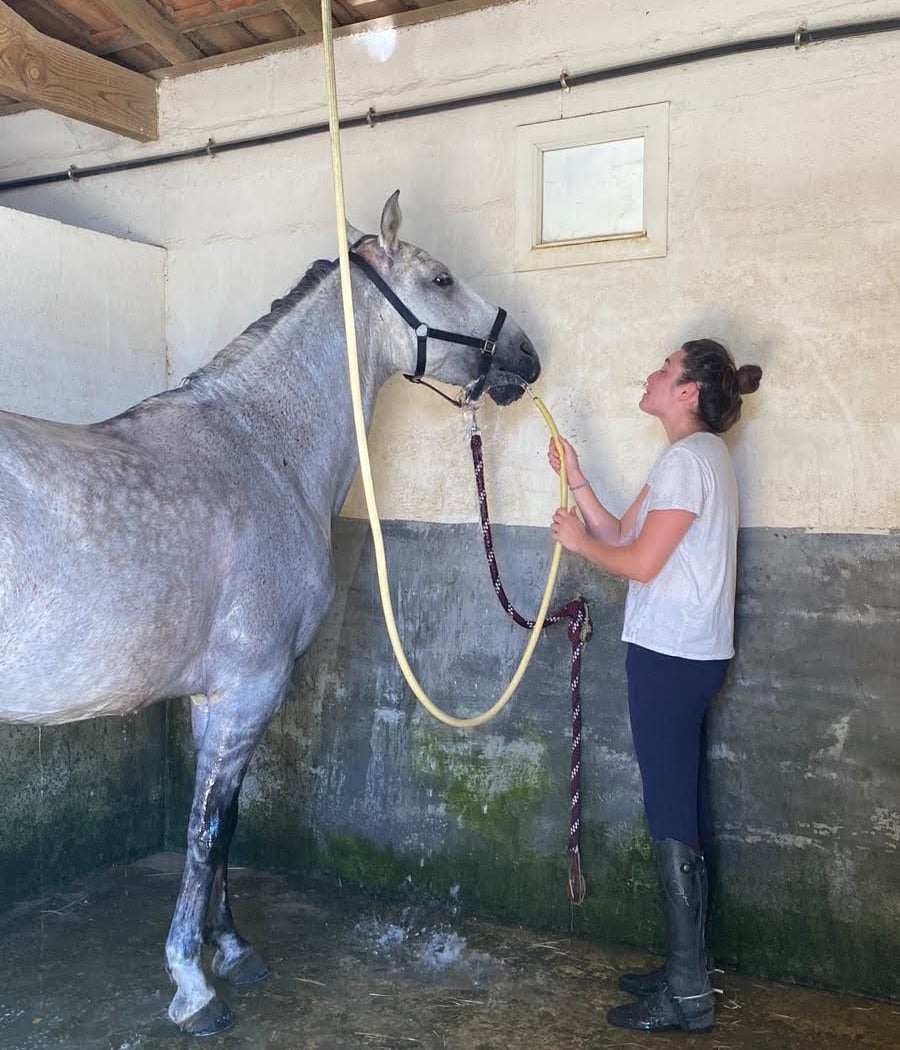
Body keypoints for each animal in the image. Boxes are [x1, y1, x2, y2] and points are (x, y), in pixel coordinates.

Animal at [0, 191, 540, 1034]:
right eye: (443, 279)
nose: (525, 355)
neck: (262, 449)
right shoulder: (253, 686)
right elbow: (209, 826)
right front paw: (193, 985)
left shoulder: (215, 696)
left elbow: (223, 825)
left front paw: (231, 948)